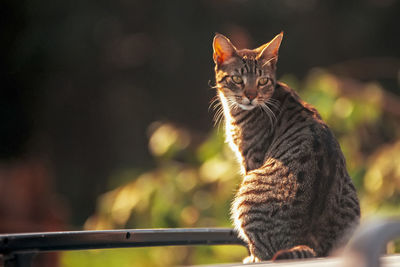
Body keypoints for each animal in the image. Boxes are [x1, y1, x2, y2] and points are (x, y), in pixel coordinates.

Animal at [211, 31, 360, 264]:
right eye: (237, 79)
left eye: (262, 80)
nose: (251, 96)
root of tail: (311, 242)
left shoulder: (250, 159)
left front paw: (250, 256)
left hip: (246, 193)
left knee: (264, 252)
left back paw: (254, 257)